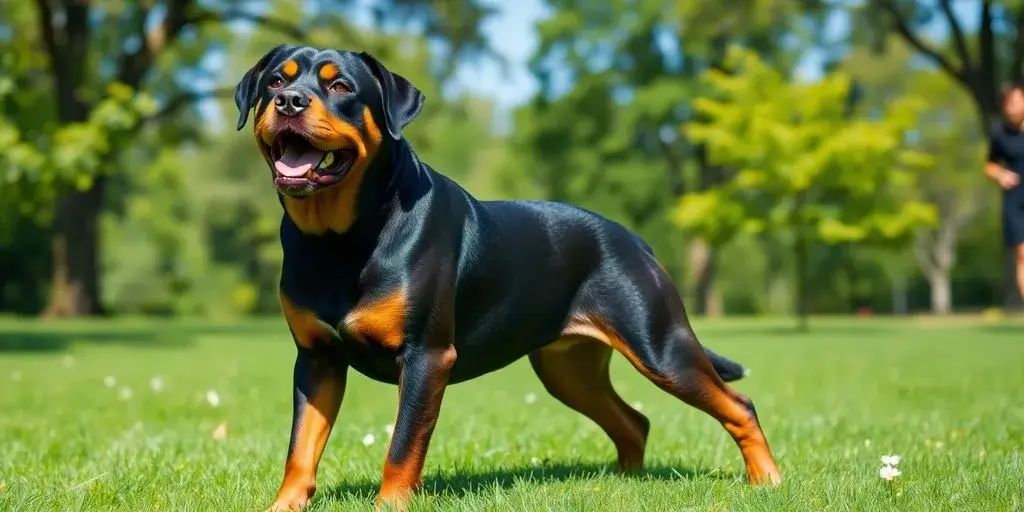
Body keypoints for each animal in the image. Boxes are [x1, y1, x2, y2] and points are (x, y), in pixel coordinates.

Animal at [234, 45, 782, 512]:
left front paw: (389, 505)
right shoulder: (317, 359)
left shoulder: (426, 356)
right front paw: (283, 505)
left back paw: (768, 480)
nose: (289, 100)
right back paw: (623, 484)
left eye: (341, 86)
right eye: (274, 81)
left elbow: (403, 447)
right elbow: (301, 447)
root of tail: (634, 240)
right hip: (568, 369)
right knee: (634, 422)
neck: (338, 238)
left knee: (739, 405)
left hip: (660, 347)